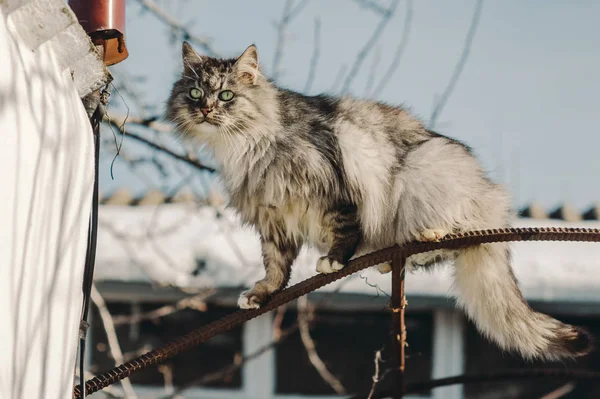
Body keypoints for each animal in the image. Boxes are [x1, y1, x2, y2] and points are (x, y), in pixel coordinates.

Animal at [166, 41, 592, 362]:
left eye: (226, 95)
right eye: (194, 93)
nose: (205, 109)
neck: (244, 147)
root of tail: (493, 198)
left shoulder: (334, 188)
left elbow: (344, 228)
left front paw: (334, 259)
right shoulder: (273, 218)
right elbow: (275, 266)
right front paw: (261, 294)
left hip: (421, 171)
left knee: (457, 236)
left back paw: (428, 237)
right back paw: (391, 258)